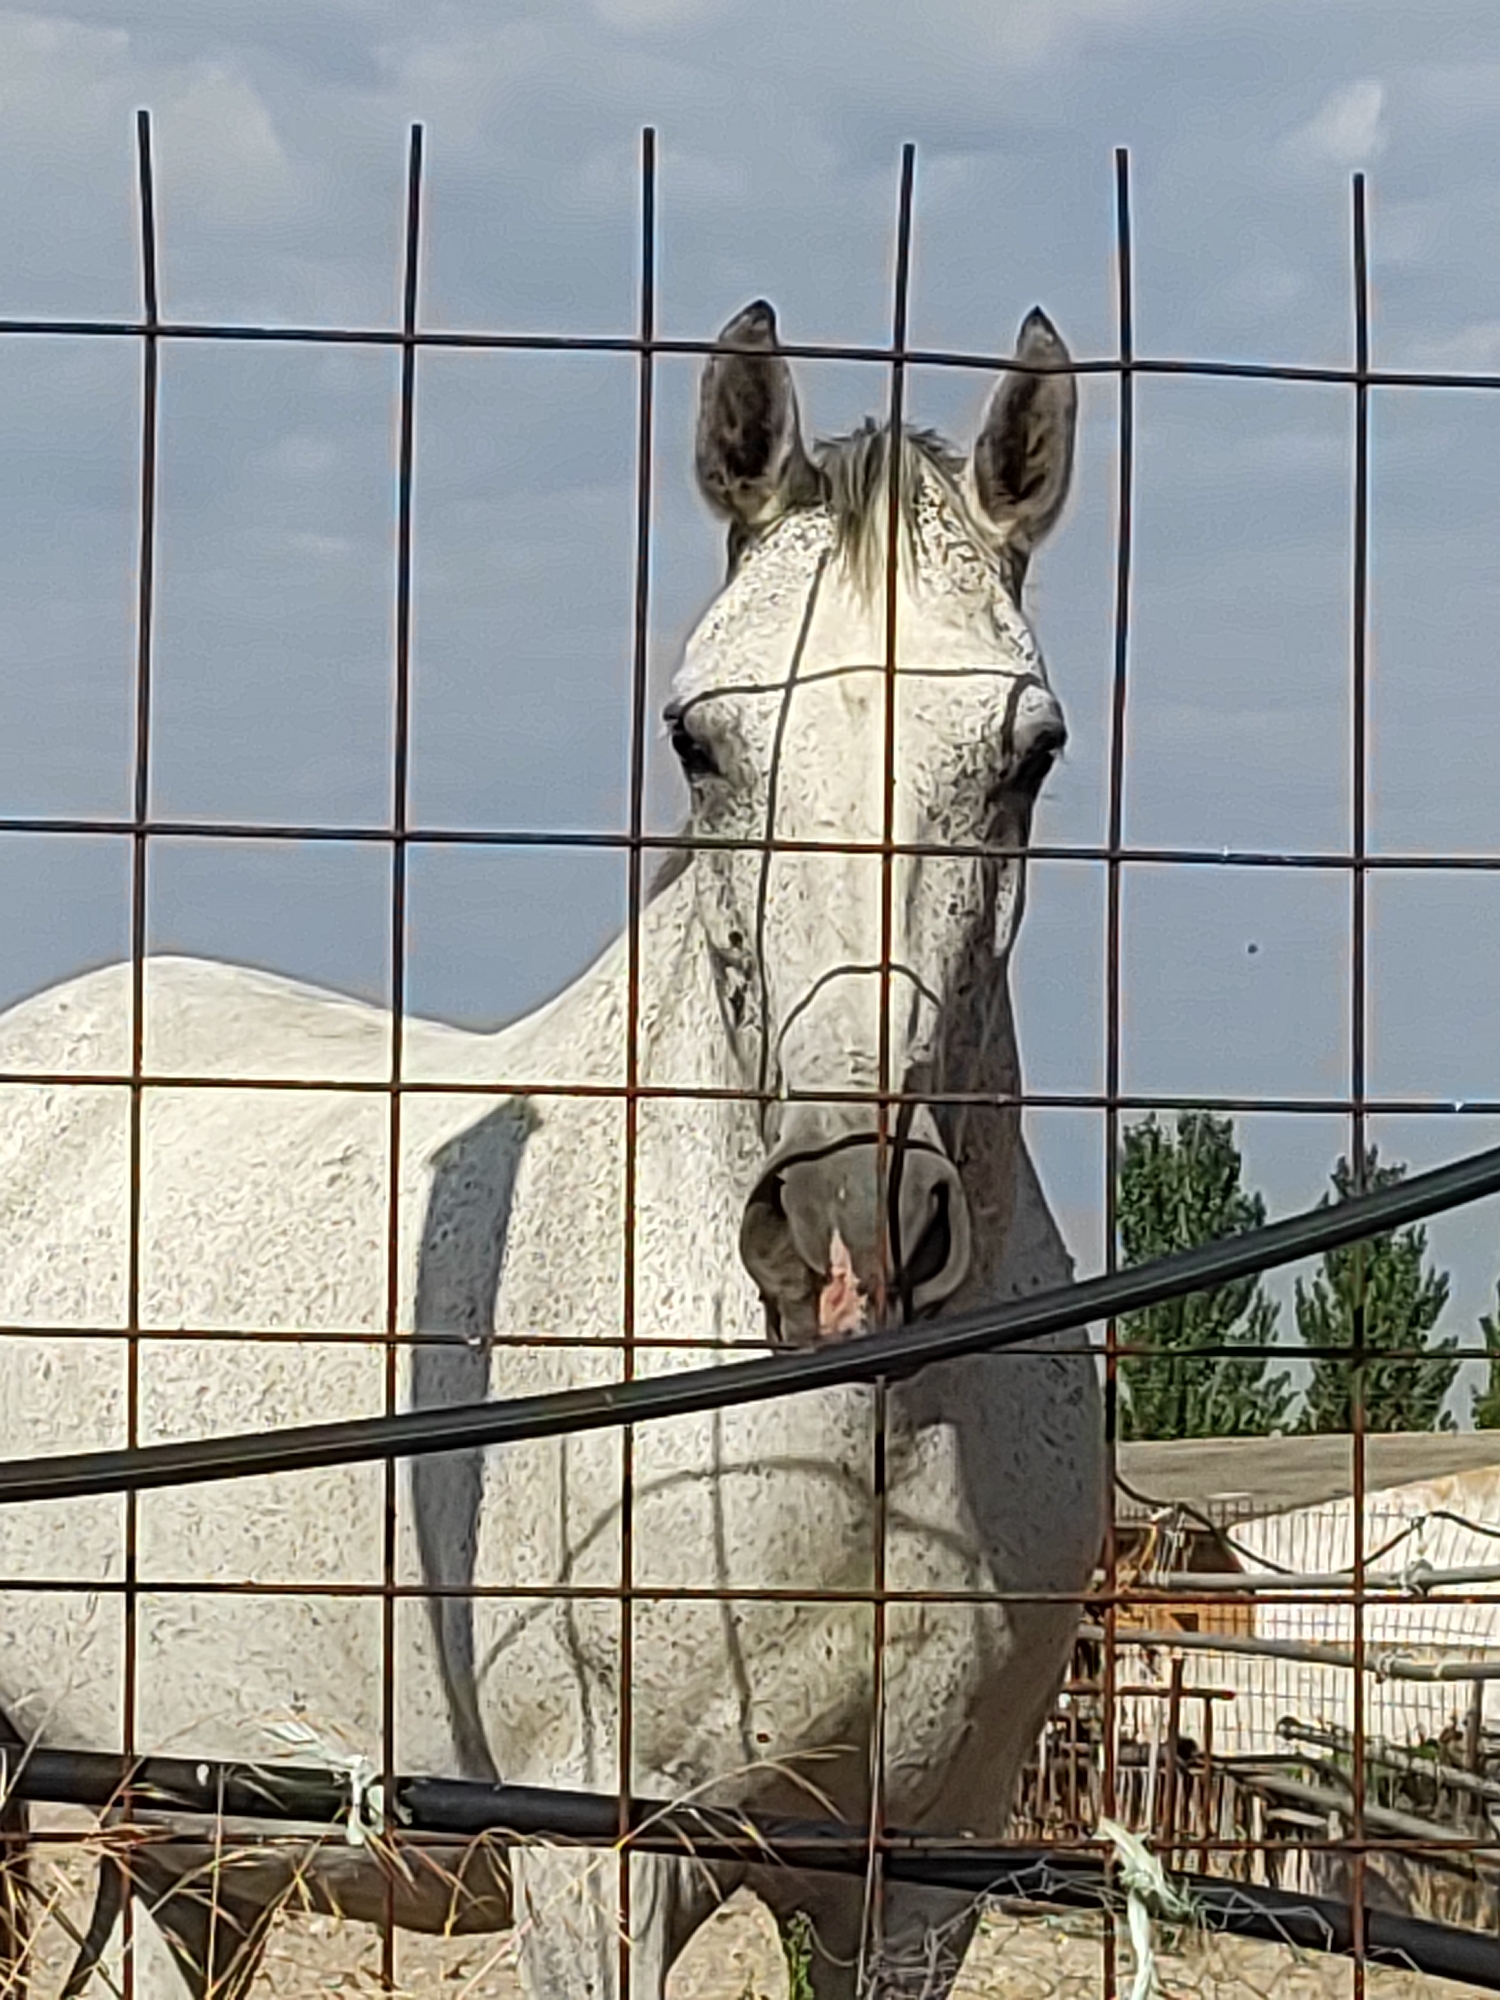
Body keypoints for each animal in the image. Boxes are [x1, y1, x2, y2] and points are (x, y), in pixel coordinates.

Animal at [0, 297, 1103, 1997]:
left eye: (1027, 751)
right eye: (700, 743)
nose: (851, 1221)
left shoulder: (918, 1889)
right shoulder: (596, 1868)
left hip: (181, 1852)